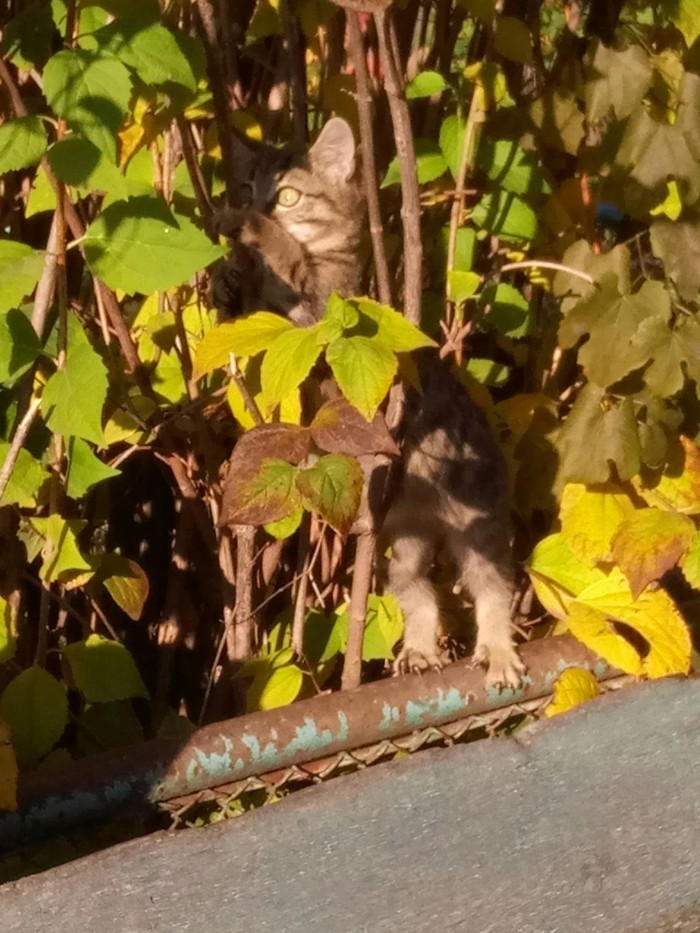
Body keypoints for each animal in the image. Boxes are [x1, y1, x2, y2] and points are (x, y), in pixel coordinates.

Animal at [215, 116, 524, 688]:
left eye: (288, 195)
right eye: (247, 185)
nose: (258, 204)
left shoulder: (326, 308)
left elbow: (289, 258)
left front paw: (250, 229)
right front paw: (223, 281)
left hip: (478, 519)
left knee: (493, 587)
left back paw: (499, 653)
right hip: (401, 540)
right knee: (420, 594)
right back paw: (420, 651)